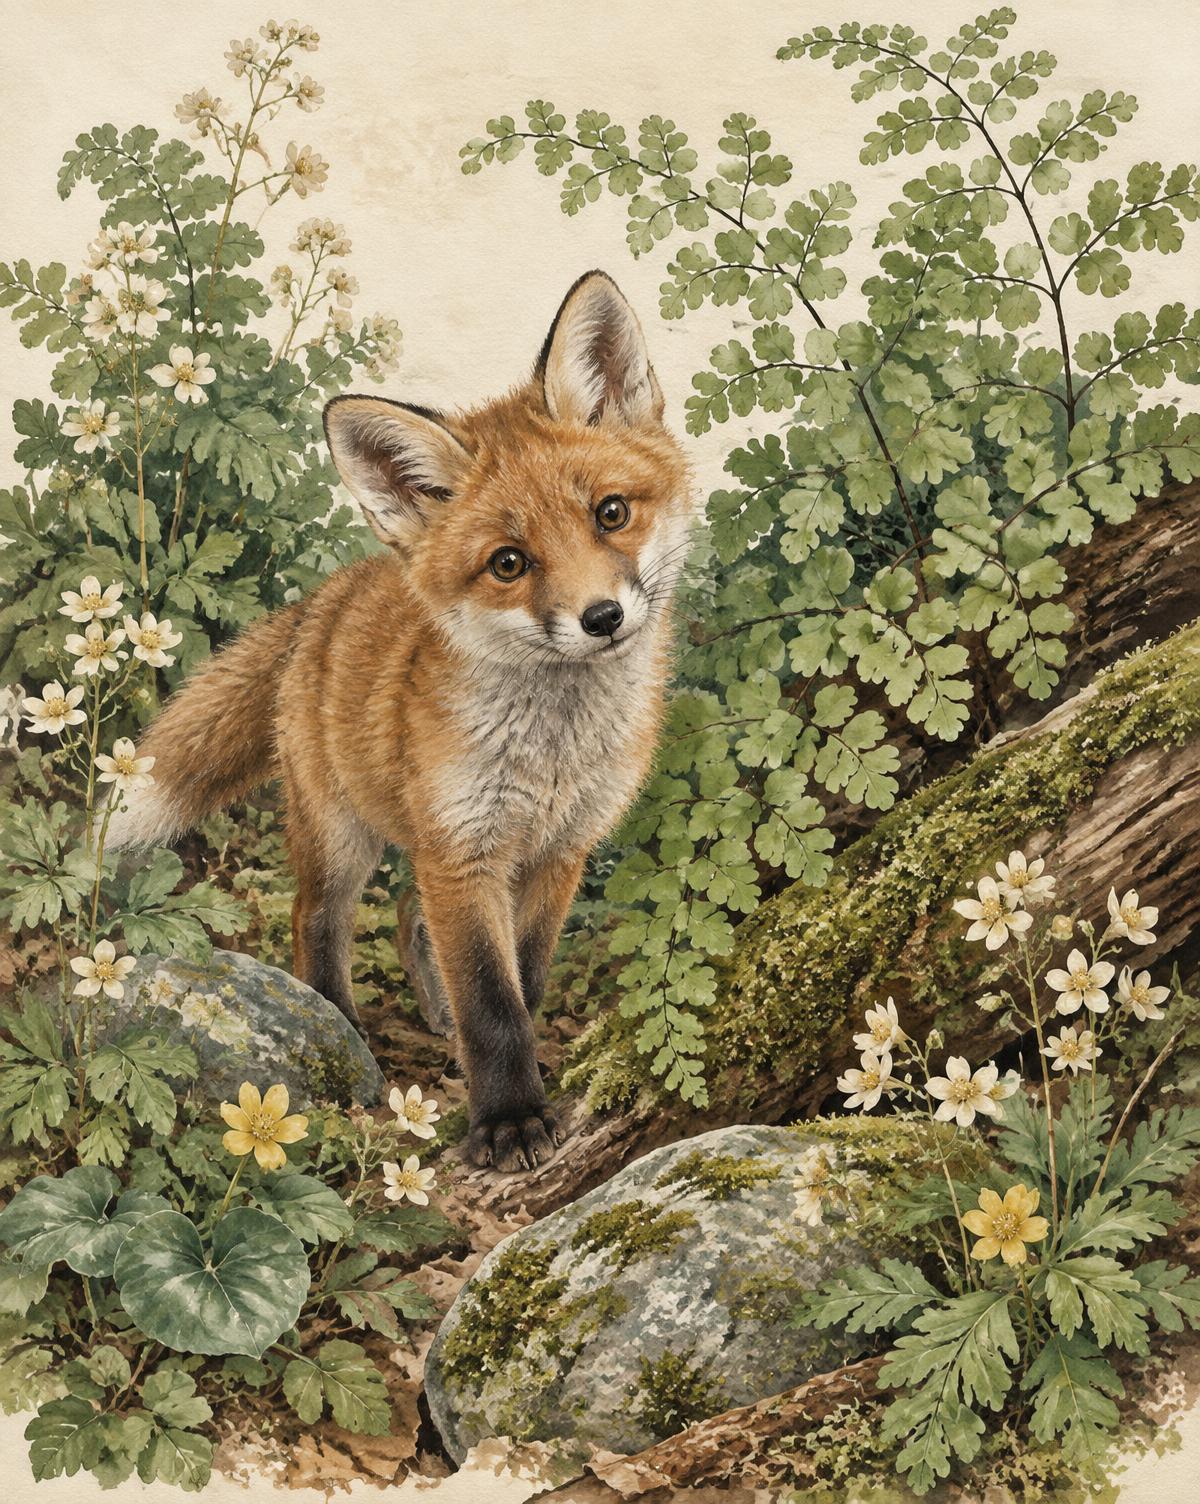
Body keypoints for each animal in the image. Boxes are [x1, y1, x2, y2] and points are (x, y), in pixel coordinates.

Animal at [105, 271, 695, 1173]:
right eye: (509, 564)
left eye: (611, 513)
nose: (601, 618)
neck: (551, 755)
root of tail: (328, 597)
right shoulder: (462, 851)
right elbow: (492, 1002)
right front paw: (508, 1118)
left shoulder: (556, 851)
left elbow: (522, 978)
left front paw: (505, 1076)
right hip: (339, 835)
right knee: (316, 923)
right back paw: (337, 1026)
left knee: (412, 920)